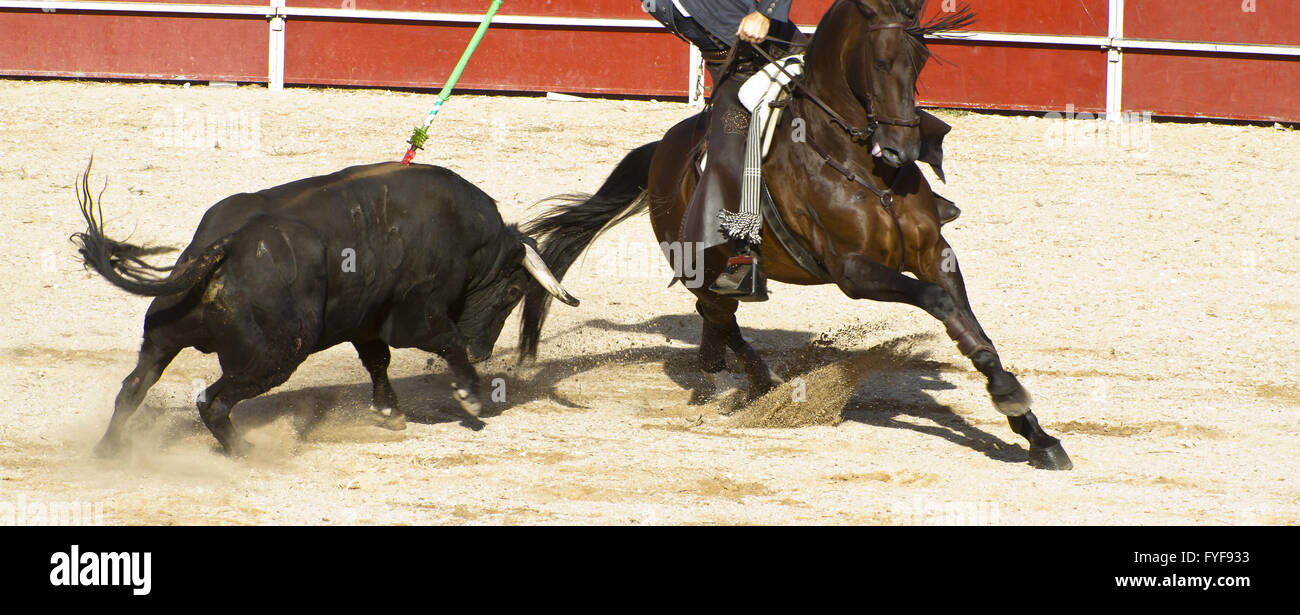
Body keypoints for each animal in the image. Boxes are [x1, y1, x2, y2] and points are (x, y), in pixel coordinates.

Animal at [73, 160, 577, 452]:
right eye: (512, 293)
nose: (483, 351)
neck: (472, 240)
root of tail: (229, 243)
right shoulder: (416, 316)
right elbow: (443, 341)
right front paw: (470, 395)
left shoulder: (367, 320)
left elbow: (377, 362)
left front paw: (390, 413)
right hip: (273, 356)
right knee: (212, 401)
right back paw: (247, 454)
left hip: (163, 337)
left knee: (133, 387)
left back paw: (109, 452)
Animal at [522, 0, 1071, 470]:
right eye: (879, 61)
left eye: (920, 61)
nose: (901, 149)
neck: (859, 164)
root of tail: (662, 151)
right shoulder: (854, 271)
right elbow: (937, 302)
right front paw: (1010, 398)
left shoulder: (936, 252)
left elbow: (972, 328)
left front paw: (1035, 434)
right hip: (701, 264)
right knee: (719, 315)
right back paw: (761, 387)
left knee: (717, 319)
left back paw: (723, 376)